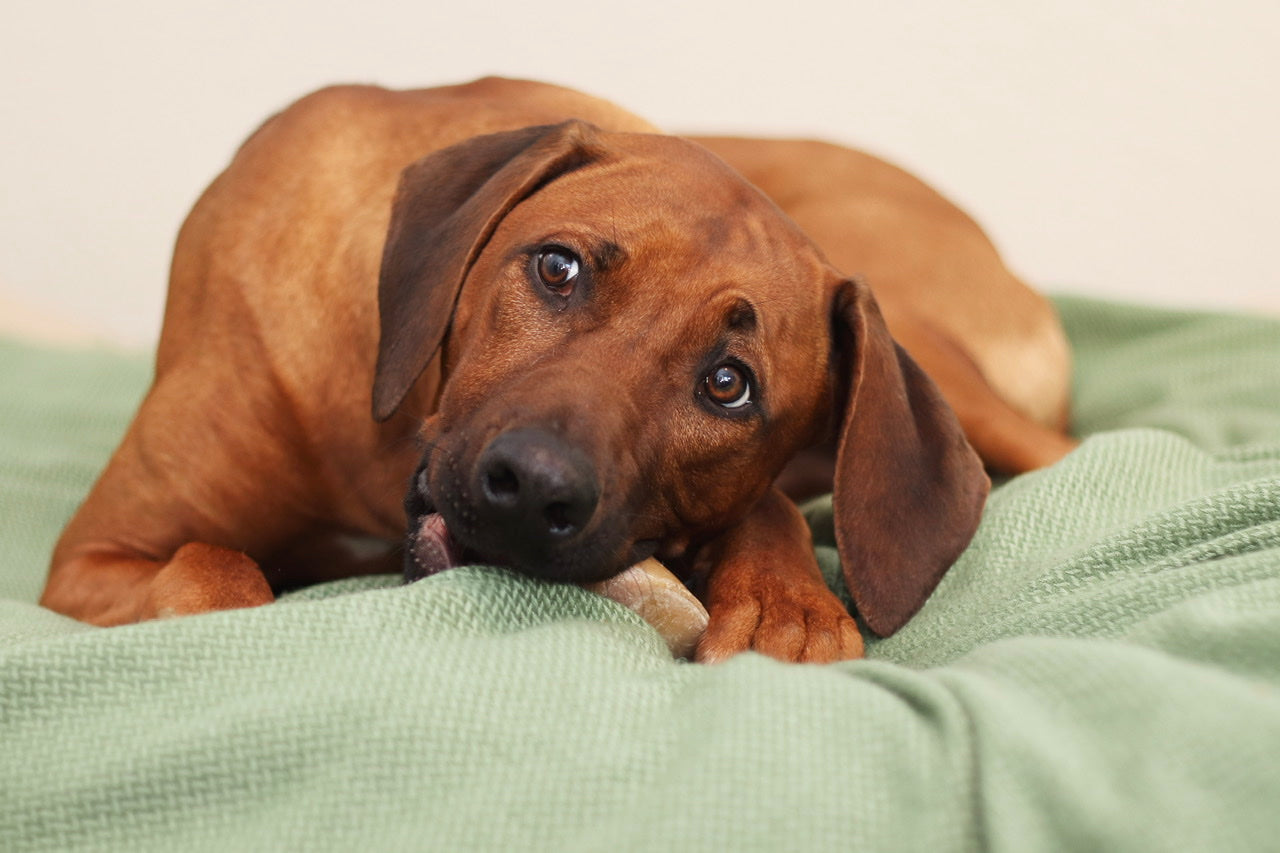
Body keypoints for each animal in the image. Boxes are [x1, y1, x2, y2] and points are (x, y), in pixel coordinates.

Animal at [40, 76, 1075, 660]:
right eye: (557, 268)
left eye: (728, 384)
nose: (531, 489)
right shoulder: (95, 559)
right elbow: (216, 574)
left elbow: (772, 509)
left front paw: (786, 603)